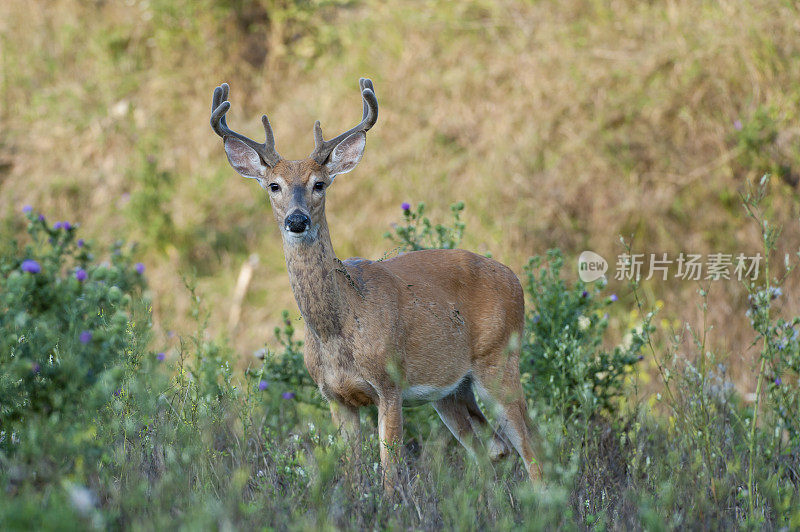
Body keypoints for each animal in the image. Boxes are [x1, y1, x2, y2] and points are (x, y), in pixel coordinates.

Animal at [209, 78, 540, 490]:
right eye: (273, 186)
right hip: (451, 390)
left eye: (320, 184)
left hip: (499, 360)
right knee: (493, 449)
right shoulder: (335, 398)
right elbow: (352, 472)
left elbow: (389, 472)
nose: (297, 220)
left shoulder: (390, 384)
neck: (338, 330)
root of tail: (515, 278)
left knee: (530, 448)